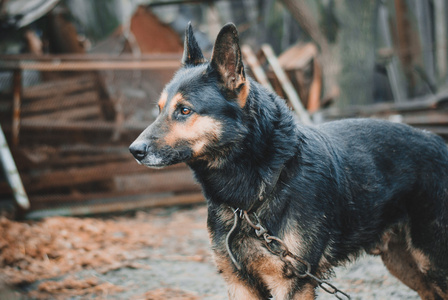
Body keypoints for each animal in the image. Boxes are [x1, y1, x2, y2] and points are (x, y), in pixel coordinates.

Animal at [130, 22, 448, 298]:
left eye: (184, 110)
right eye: (159, 110)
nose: (135, 150)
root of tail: (438, 141)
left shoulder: (294, 284)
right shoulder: (239, 283)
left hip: (433, 262)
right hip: (405, 264)